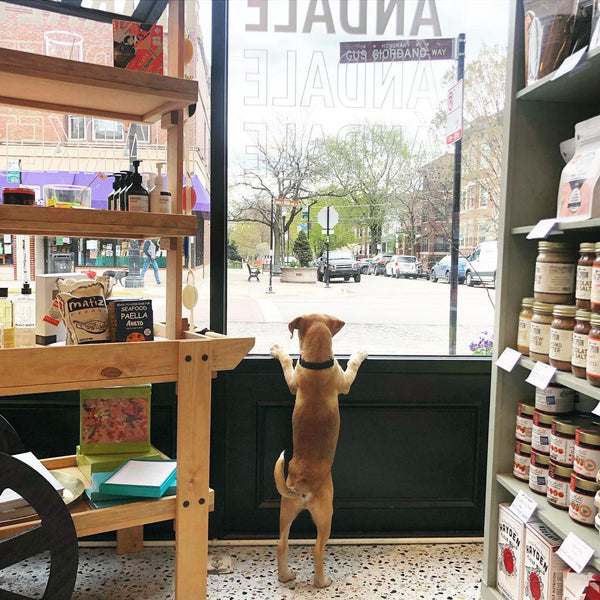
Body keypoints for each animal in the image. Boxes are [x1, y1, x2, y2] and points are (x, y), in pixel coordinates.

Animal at [270, 314, 366, 584]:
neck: (316, 364)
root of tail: (302, 487)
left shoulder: (293, 380)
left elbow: (286, 363)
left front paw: (278, 350)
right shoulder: (344, 382)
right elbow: (352, 366)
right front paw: (360, 352)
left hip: (285, 510)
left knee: (281, 544)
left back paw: (286, 576)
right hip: (326, 516)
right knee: (317, 550)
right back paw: (322, 582)